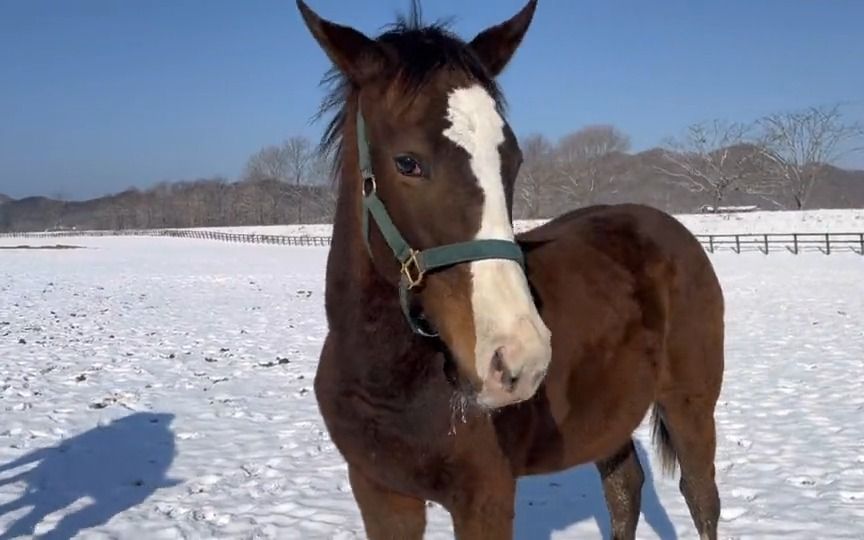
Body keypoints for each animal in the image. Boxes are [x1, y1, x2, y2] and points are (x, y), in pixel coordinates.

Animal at [296, 2, 724, 536]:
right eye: (407, 162)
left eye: (513, 160)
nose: (520, 359)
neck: (388, 380)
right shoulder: (379, 493)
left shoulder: (485, 497)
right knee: (625, 489)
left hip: (691, 402)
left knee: (700, 496)